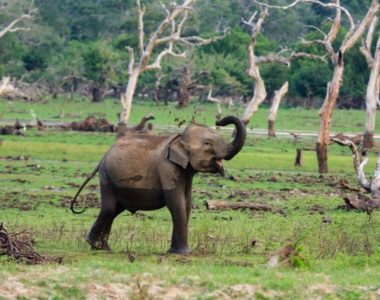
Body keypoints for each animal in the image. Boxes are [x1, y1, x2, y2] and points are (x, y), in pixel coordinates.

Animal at [71, 115, 246, 253]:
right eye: (208, 143)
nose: (219, 120)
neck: (179, 138)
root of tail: (104, 155)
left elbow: (186, 204)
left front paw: (173, 251)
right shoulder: (167, 168)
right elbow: (176, 203)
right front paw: (183, 253)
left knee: (114, 210)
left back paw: (103, 248)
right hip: (106, 176)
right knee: (109, 208)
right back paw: (95, 245)